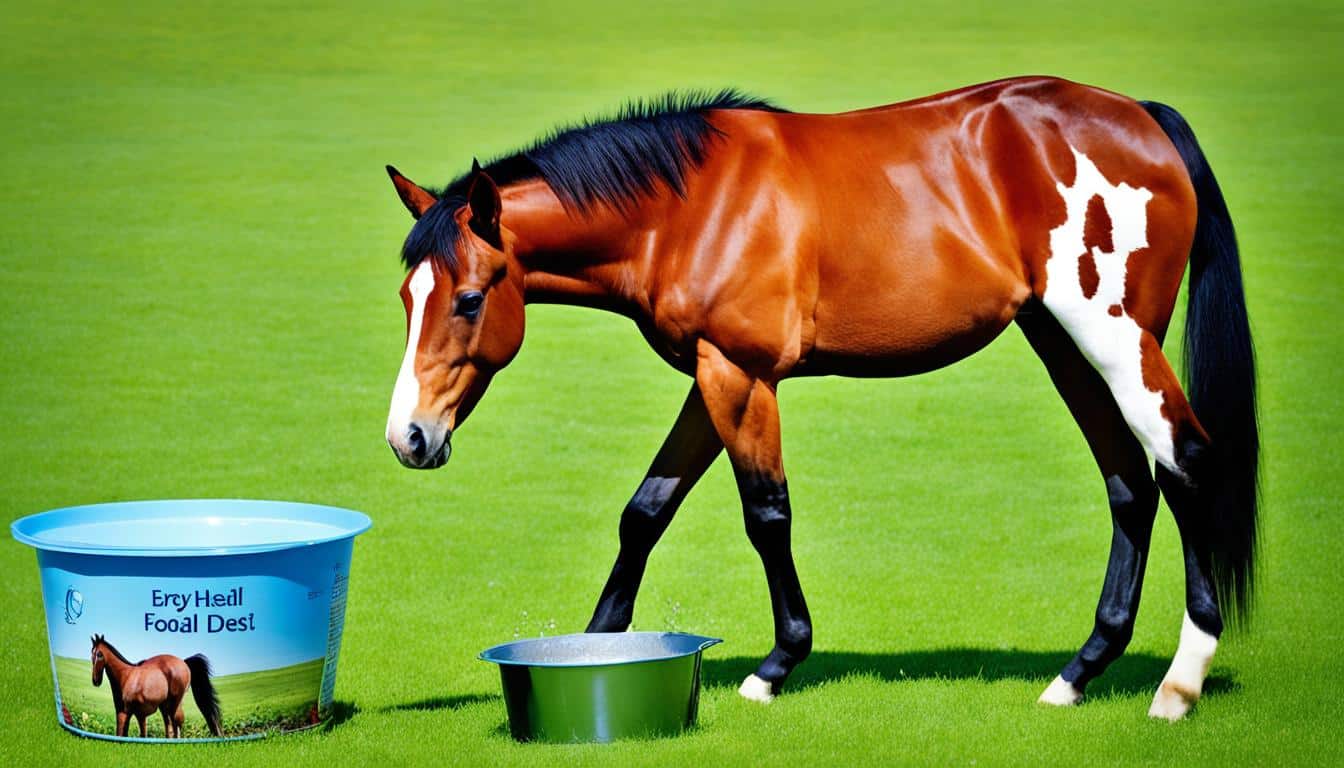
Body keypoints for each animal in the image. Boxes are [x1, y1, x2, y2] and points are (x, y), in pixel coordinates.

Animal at [89, 637, 221, 737]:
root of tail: (184, 662)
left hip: (174, 705)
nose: (95, 681)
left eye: (100, 654)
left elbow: (142, 735)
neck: (126, 677)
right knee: (170, 728)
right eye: (91, 654)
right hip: (165, 707)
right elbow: (121, 734)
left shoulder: (140, 714)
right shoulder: (123, 713)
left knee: (177, 723)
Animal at [381, 78, 1257, 720]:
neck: (688, 208)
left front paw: (777, 664)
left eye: (467, 299)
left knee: (1185, 461)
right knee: (1131, 485)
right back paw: (1078, 673)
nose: (408, 438)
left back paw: (1179, 684)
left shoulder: (741, 376)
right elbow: (647, 511)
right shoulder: (711, 374)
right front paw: (597, 646)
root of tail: (1141, 115)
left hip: (1115, 340)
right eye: (406, 297)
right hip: (1063, 344)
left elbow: (768, 516)